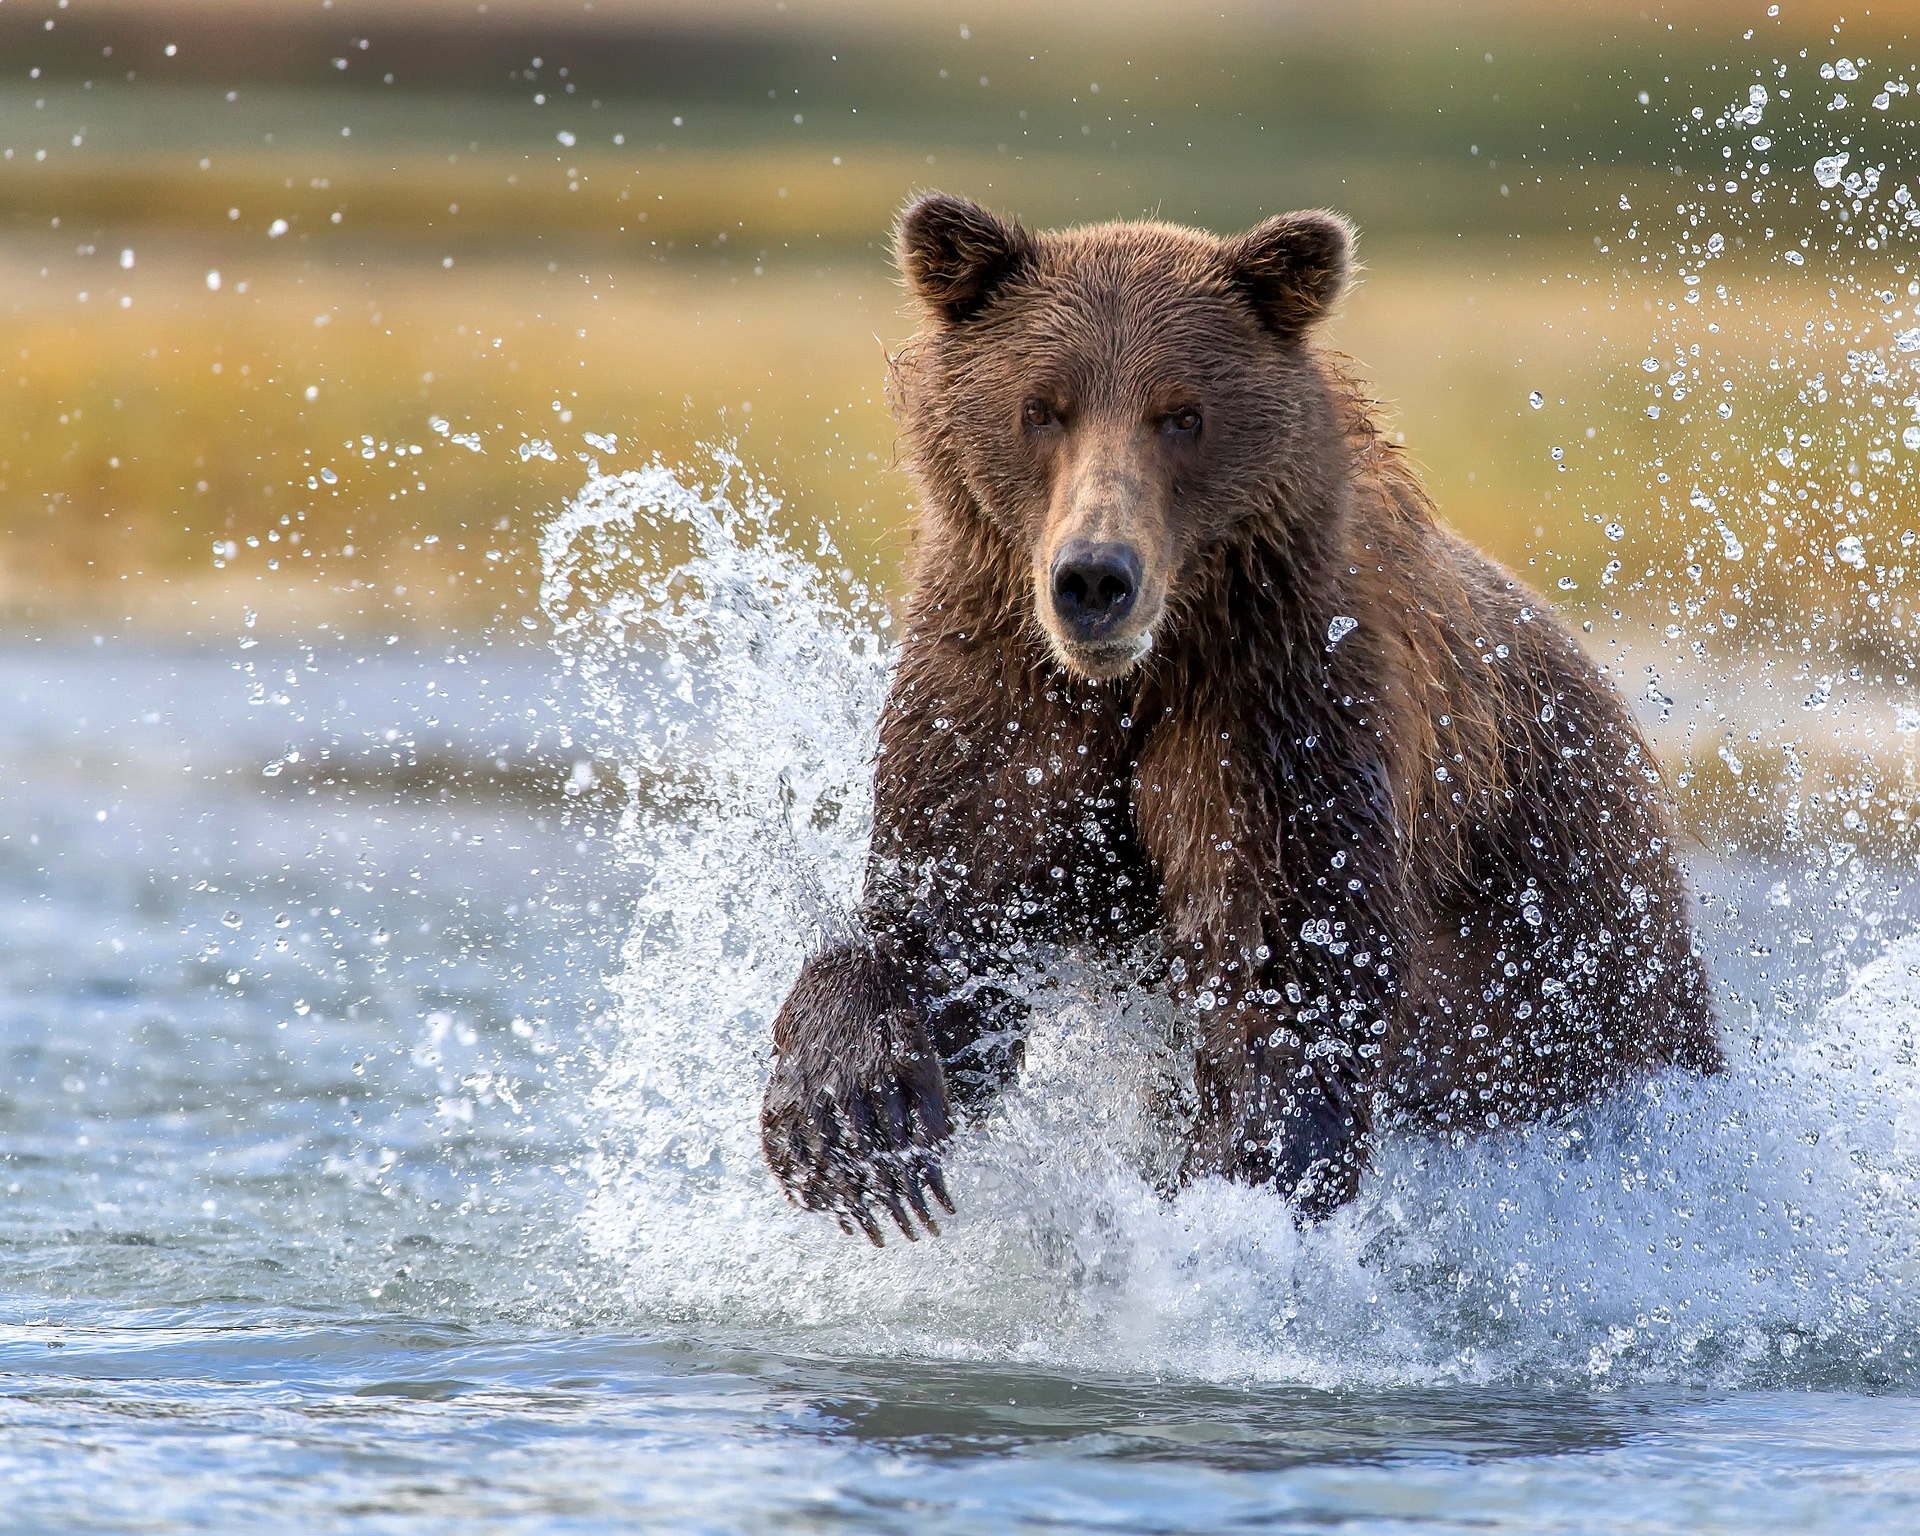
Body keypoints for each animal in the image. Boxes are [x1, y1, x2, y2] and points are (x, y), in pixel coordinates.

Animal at [756, 194, 1720, 1244]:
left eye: (1183, 414)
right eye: (1041, 407)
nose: (1094, 578)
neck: (1144, 674)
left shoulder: (1282, 711)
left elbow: (1285, 977)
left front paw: (1233, 1196)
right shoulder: (1001, 701)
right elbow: (949, 925)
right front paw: (853, 1119)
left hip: (1577, 959)